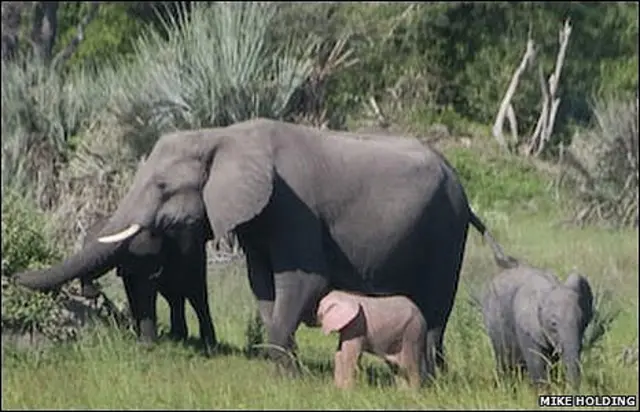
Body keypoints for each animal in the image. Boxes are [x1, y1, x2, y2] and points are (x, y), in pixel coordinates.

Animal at [80, 217, 217, 355]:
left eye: (116, 250)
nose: (96, 290)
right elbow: (132, 291)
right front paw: (138, 335)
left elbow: (144, 291)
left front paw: (147, 345)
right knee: (174, 298)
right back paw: (176, 338)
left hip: (193, 258)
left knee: (196, 296)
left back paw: (209, 348)